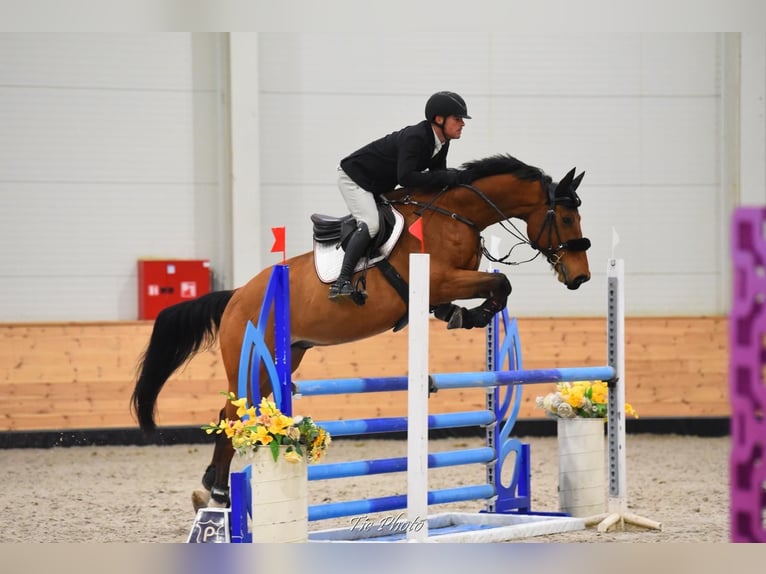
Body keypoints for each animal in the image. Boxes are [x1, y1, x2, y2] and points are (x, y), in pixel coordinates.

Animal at [131, 153, 592, 510]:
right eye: (568, 217)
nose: (581, 278)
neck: (454, 215)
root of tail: (237, 296)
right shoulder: (439, 279)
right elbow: (501, 283)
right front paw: (476, 315)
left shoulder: (447, 284)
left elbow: (495, 286)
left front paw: (464, 315)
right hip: (249, 361)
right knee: (231, 415)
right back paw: (219, 493)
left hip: (284, 357)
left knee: (237, 413)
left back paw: (215, 489)